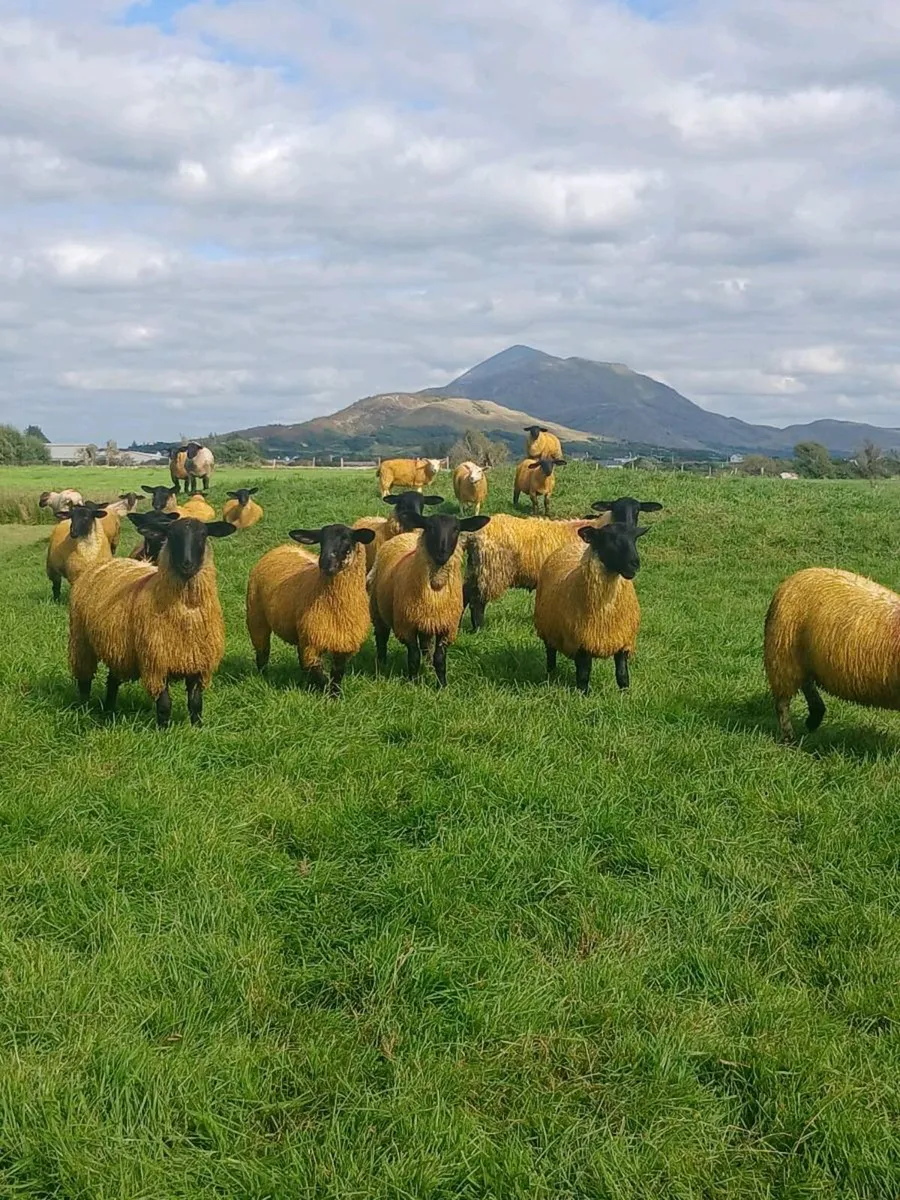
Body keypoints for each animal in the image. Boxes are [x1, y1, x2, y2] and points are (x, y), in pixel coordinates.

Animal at [68, 515, 236, 727]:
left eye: (203, 534)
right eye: (171, 534)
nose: (187, 564)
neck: (186, 612)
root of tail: (107, 562)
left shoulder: (198, 662)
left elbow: (196, 703)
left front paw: (197, 728)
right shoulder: (156, 662)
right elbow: (164, 705)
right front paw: (163, 730)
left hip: (118, 647)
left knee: (112, 680)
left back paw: (109, 711)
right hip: (81, 640)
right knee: (84, 680)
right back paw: (83, 709)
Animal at [246, 523, 375, 695]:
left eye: (347, 543)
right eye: (321, 542)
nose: (325, 564)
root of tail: (282, 547)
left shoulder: (343, 644)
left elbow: (337, 673)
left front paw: (335, 695)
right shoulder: (311, 643)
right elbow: (318, 674)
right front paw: (325, 691)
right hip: (256, 615)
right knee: (262, 651)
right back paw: (263, 676)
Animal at [370, 512, 490, 686]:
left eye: (456, 529)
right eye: (430, 527)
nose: (442, 553)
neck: (435, 587)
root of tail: (404, 535)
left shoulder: (446, 627)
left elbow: (439, 659)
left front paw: (442, 685)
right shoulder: (407, 626)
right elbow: (413, 657)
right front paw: (413, 682)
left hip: (426, 620)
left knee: (426, 645)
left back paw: (427, 665)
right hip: (377, 608)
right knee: (381, 637)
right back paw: (382, 663)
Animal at [534, 521, 647, 694]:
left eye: (635, 538)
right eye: (609, 538)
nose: (635, 563)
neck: (606, 610)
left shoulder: (622, 639)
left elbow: (622, 672)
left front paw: (625, 693)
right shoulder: (581, 642)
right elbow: (583, 673)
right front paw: (584, 694)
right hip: (548, 627)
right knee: (551, 653)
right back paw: (550, 674)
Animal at [764, 567, 900, 741]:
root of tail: (798, 574)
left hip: (801, 657)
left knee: (806, 682)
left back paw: (814, 717)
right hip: (782, 656)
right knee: (783, 701)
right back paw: (789, 736)